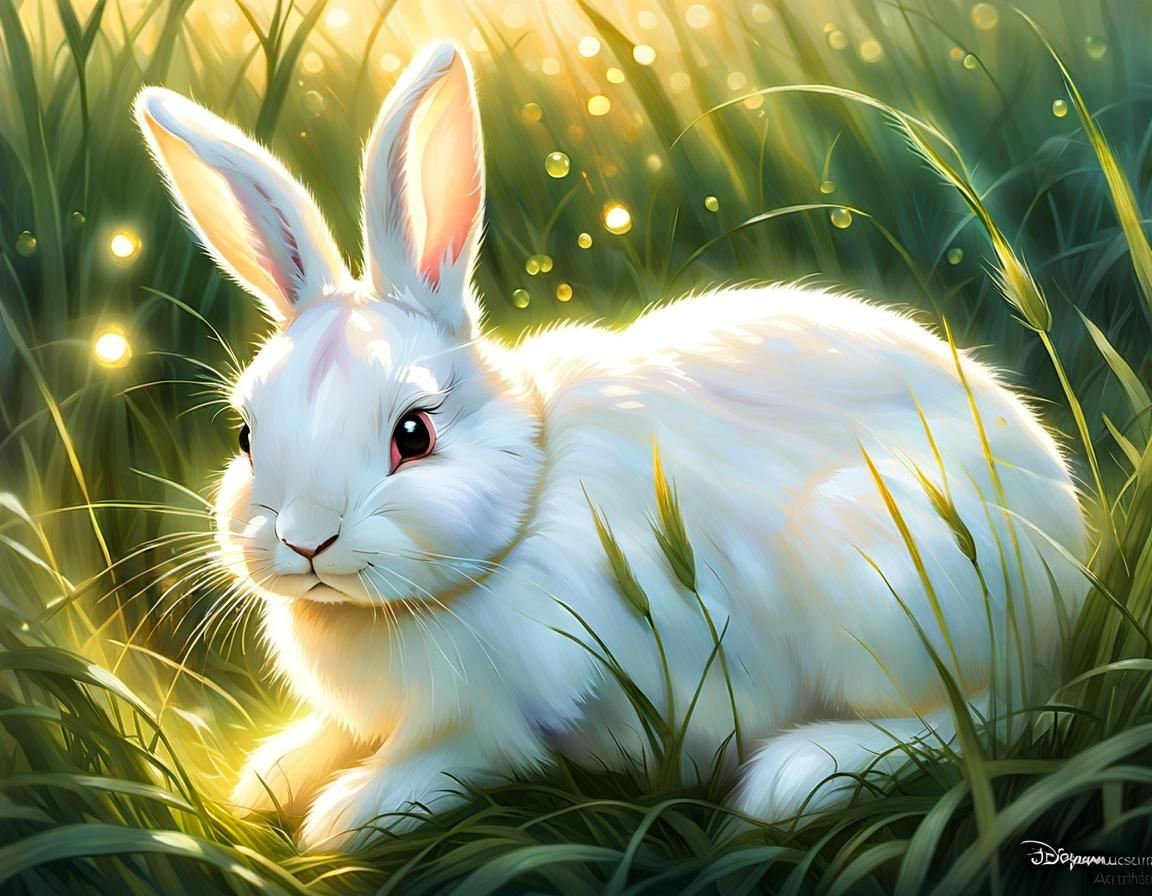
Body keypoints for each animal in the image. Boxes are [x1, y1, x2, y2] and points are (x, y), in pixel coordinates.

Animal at [135, 42, 1087, 852]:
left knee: (985, 718)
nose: (305, 540)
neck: (519, 509)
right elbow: (328, 736)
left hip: (881, 576)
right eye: (246, 433)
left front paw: (343, 819)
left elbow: (448, 762)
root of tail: (1067, 566)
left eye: (415, 434)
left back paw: (793, 776)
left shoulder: (501, 719)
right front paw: (263, 779)